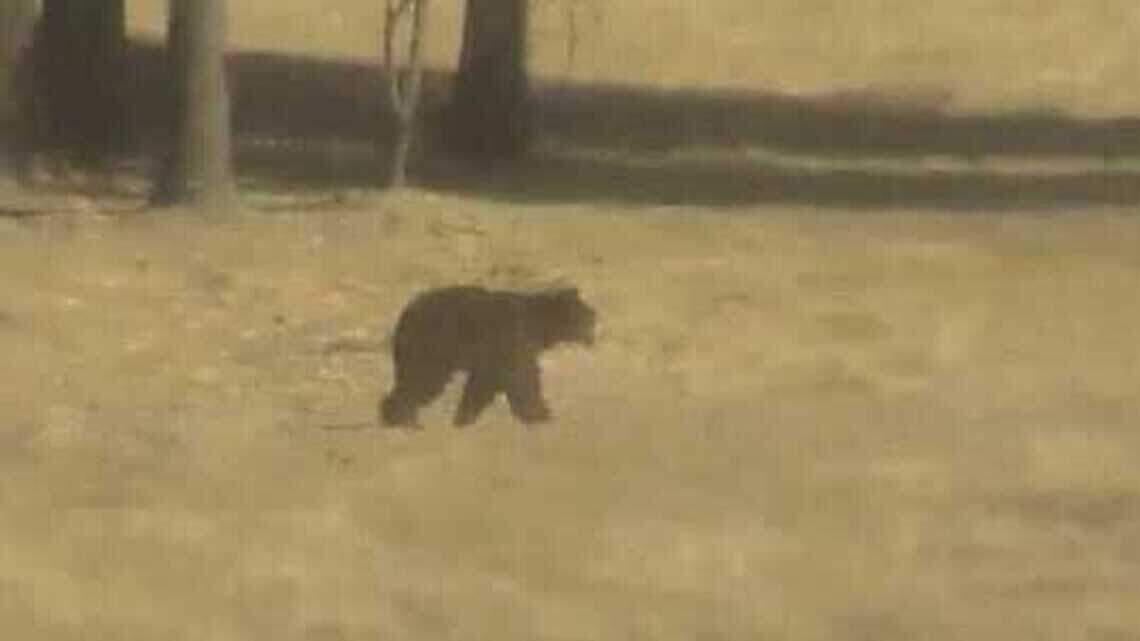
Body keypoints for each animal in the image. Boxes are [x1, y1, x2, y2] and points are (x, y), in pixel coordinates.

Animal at [379, 285, 597, 428]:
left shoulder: (499, 353)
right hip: (431, 348)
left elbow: (486, 382)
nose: (597, 320)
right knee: (421, 381)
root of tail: (404, 316)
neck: (539, 324)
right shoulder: (510, 341)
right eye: (588, 316)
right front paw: (540, 414)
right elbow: (521, 379)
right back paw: (403, 419)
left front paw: (464, 417)